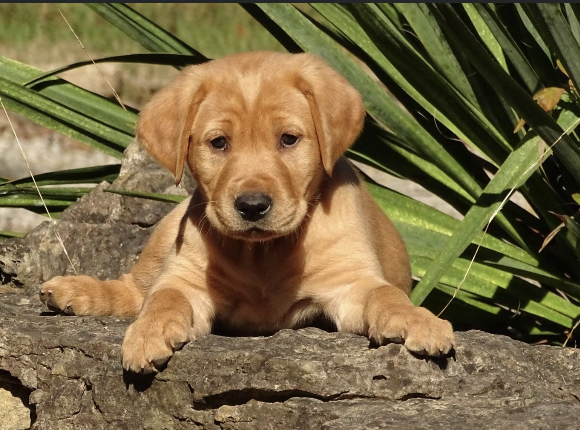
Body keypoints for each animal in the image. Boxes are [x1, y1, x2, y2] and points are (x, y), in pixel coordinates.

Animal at [38, 50, 456, 372]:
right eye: (219, 143)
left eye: (289, 139)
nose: (252, 206)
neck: (263, 253)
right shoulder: (188, 282)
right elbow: (163, 299)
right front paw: (148, 333)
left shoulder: (350, 284)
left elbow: (387, 296)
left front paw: (418, 320)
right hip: (169, 230)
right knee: (135, 288)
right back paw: (76, 291)